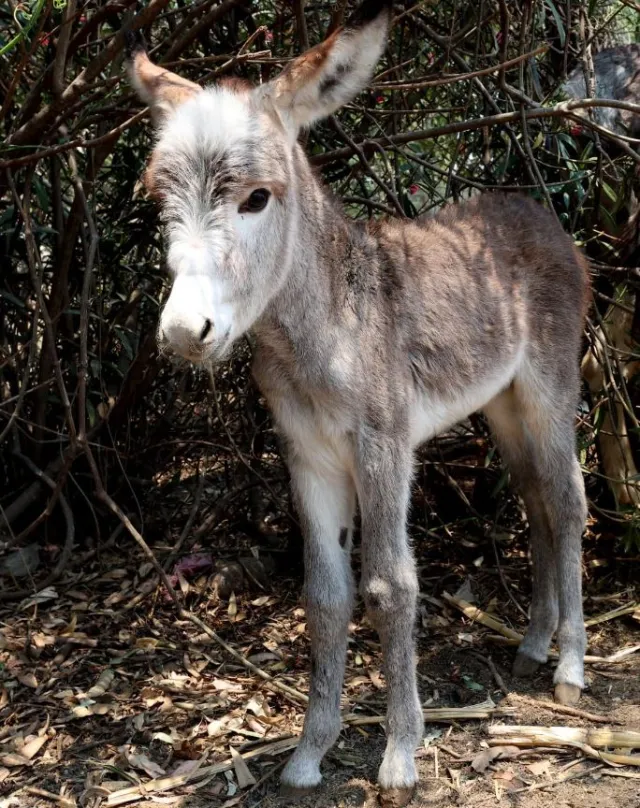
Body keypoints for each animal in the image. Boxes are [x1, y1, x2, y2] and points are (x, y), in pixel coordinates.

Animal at [129, 3, 592, 804]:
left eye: (257, 198)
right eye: (163, 203)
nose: (186, 334)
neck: (317, 332)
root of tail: (538, 212)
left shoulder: (383, 445)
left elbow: (389, 586)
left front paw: (401, 753)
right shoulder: (308, 456)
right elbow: (324, 597)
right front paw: (310, 752)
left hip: (547, 390)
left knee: (567, 498)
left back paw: (570, 666)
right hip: (501, 404)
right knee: (534, 499)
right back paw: (534, 644)